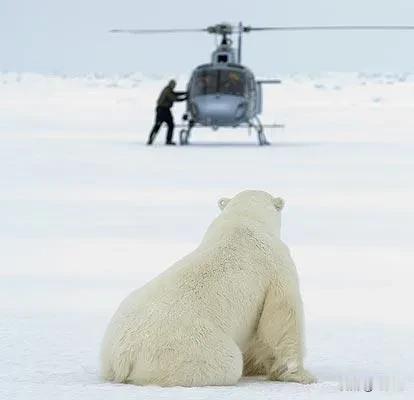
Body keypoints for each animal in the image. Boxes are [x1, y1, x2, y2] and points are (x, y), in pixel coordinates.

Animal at [102, 191, 316, 388]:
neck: (244, 220)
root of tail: (122, 356)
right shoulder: (277, 263)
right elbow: (283, 316)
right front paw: (300, 375)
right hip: (190, 346)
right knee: (227, 362)